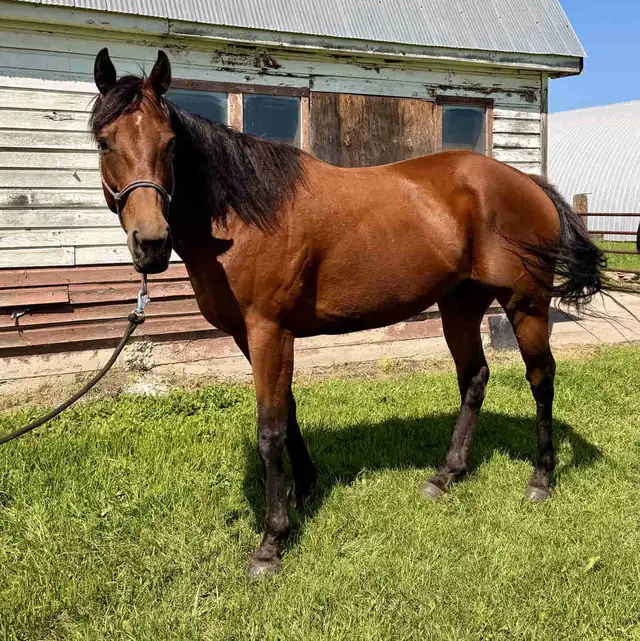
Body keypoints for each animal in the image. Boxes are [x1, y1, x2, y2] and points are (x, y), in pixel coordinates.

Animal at [90, 48, 605, 577]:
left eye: (171, 143)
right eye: (104, 141)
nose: (151, 243)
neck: (243, 217)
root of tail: (526, 182)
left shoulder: (269, 330)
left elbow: (270, 428)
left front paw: (272, 541)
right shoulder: (248, 335)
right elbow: (289, 411)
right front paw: (304, 488)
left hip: (526, 304)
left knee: (541, 379)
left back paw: (541, 479)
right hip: (459, 305)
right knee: (474, 378)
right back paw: (446, 474)